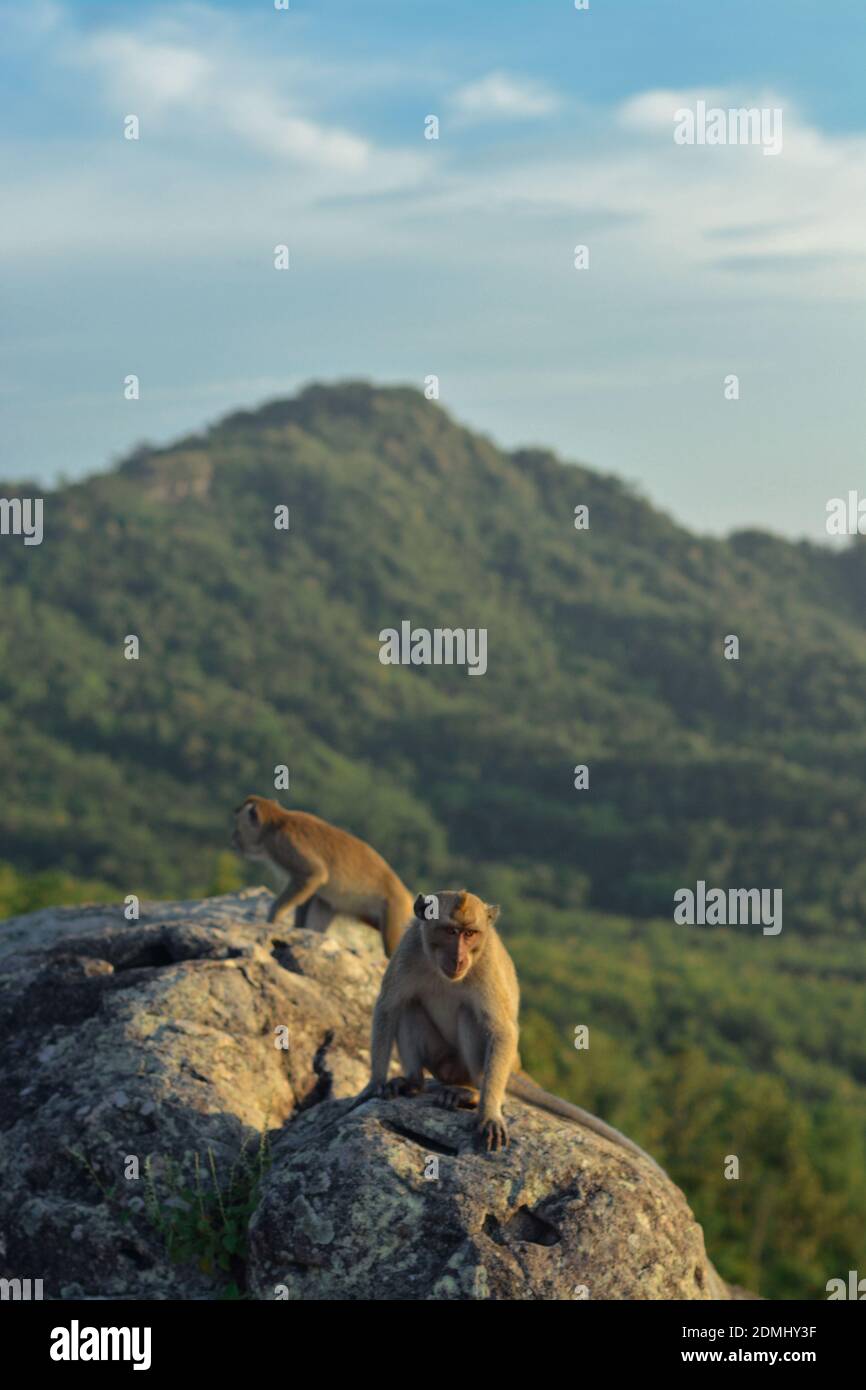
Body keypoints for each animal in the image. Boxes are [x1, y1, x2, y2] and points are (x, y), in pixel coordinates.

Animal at [230, 796, 414, 957]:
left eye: (237, 829)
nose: (234, 840)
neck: (277, 822)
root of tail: (407, 895)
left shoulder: (283, 842)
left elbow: (314, 874)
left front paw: (274, 917)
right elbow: (311, 893)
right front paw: (297, 928)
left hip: (396, 909)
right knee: (323, 903)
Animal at [361, 889, 666, 1174]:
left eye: (470, 934)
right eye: (450, 931)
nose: (459, 959)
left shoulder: (484, 964)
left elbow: (502, 1031)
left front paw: (489, 1113)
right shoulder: (409, 949)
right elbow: (389, 1006)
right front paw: (375, 1083)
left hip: (467, 1067)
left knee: (470, 1016)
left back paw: (469, 1093)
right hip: (440, 1061)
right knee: (410, 1006)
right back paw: (414, 1082)